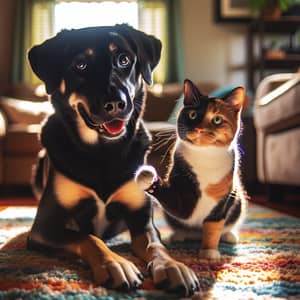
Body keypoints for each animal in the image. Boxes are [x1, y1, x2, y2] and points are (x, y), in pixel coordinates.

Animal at [27, 25, 198, 296]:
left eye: (124, 60)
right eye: (80, 65)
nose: (117, 103)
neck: (103, 151)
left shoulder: (141, 218)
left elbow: (156, 245)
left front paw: (172, 266)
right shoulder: (44, 227)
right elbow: (88, 237)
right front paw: (114, 263)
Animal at [137, 78, 247, 258]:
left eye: (217, 119)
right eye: (192, 114)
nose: (199, 128)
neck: (204, 157)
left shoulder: (224, 198)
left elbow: (213, 225)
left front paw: (209, 252)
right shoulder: (182, 194)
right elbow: (179, 206)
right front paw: (148, 178)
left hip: (238, 200)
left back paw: (229, 235)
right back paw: (177, 236)